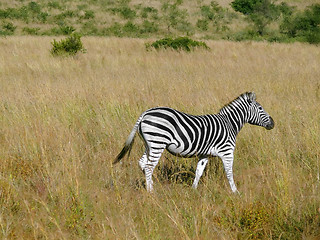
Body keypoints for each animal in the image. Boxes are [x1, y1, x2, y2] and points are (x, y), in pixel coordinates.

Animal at [114, 92, 274, 193]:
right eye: (261, 108)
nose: (272, 123)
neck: (230, 123)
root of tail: (145, 113)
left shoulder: (205, 154)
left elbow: (199, 171)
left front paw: (193, 189)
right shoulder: (227, 152)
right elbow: (229, 173)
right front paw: (236, 192)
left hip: (149, 144)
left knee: (142, 163)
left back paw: (151, 184)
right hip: (158, 142)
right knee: (148, 166)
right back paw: (151, 192)